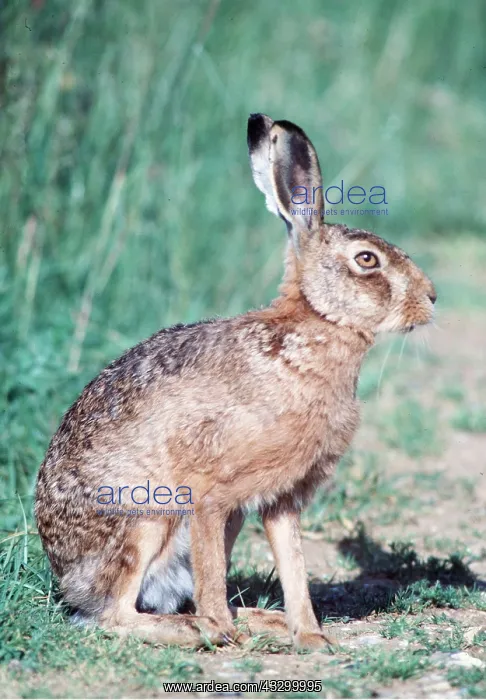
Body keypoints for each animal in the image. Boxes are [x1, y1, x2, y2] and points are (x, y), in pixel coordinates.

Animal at [35, 113, 436, 650]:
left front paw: (312, 638)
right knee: (114, 615)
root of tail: (67, 578)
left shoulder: (281, 499)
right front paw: (220, 630)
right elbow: (211, 571)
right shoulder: (208, 494)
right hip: (144, 517)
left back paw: (259, 620)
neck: (313, 326)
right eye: (367, 260)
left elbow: (293, 566)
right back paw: (198, 629)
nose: (432, 297)